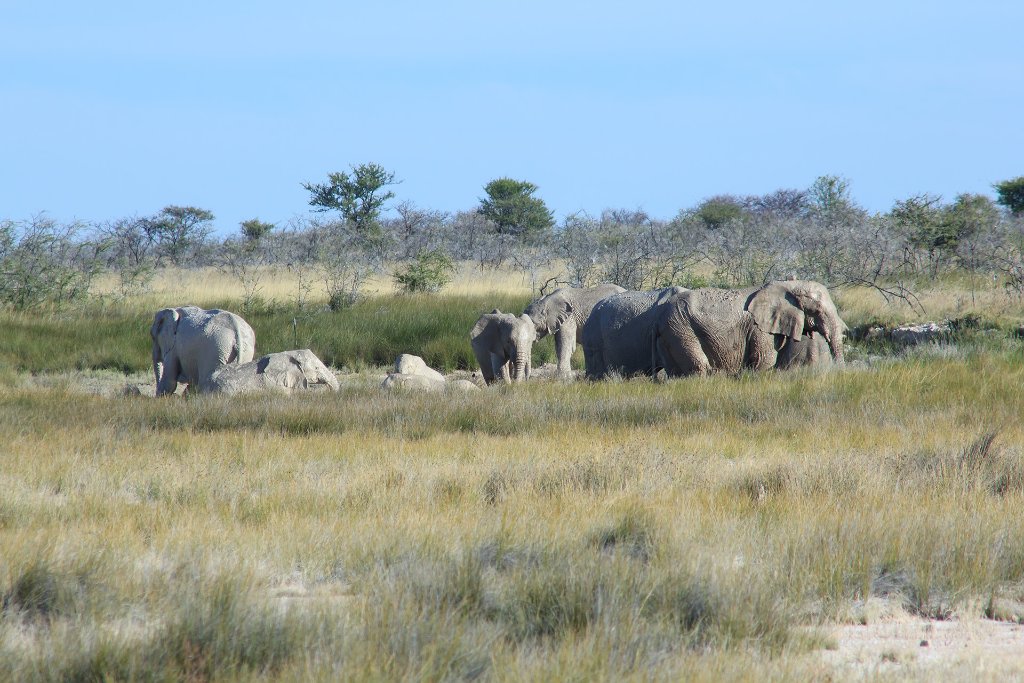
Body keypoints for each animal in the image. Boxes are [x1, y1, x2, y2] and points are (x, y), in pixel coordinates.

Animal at [655, 278, 847, 376]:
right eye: (816, 311)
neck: (786, 285)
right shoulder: (759, 327)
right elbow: (765, 359)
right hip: (681, 331)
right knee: (699, 367)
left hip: (670, 334)